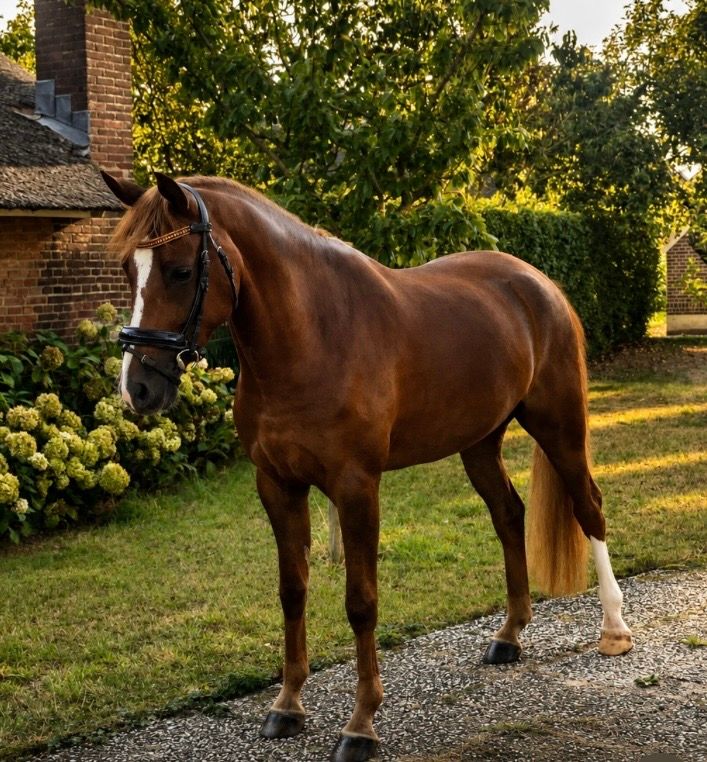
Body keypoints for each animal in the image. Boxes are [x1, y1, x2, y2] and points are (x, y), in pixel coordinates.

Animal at [102, 171, 633, 762]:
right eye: (128, 270)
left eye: (179, 270)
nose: (137, 389)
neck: (313, 335)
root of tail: (538, 283)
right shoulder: (277, 485)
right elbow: (292, 590)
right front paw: (287, 705)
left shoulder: (356, 488)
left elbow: (361, 602)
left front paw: (360, 724)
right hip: (479, 443)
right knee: (508, 514)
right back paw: (509, 635)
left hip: (558, 426)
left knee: (589, 507)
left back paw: (614, 629)